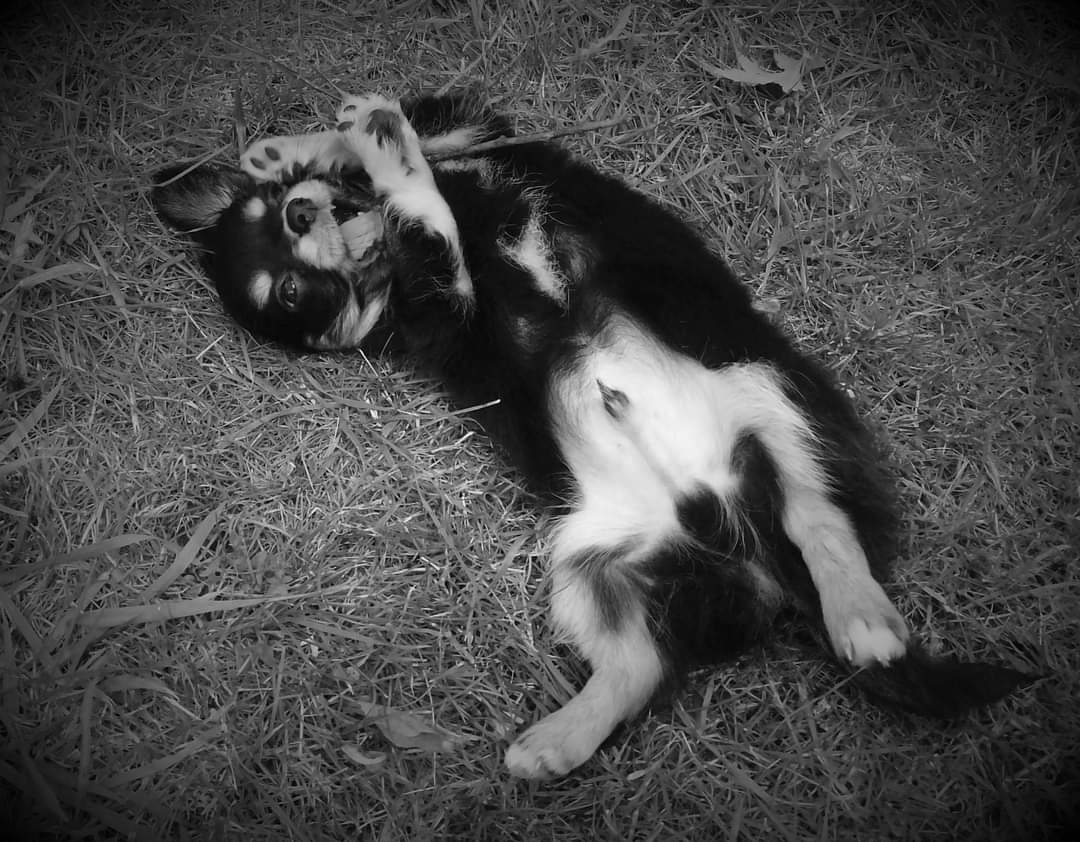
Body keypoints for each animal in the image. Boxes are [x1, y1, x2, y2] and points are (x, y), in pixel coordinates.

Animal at [151, 91, 1031, 779]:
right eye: (292, 293)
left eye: (278, 219)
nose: (300, 206)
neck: (387, 280)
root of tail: (731, 532)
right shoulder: (444, 294)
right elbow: (427, 218)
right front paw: (385, 167)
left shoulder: (474, 131)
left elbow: (412, 142)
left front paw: (302, 146)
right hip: (592, 565)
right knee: (650, 656)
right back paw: (556, 743)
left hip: (769, 387)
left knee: (817, 515)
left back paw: (859, 616)